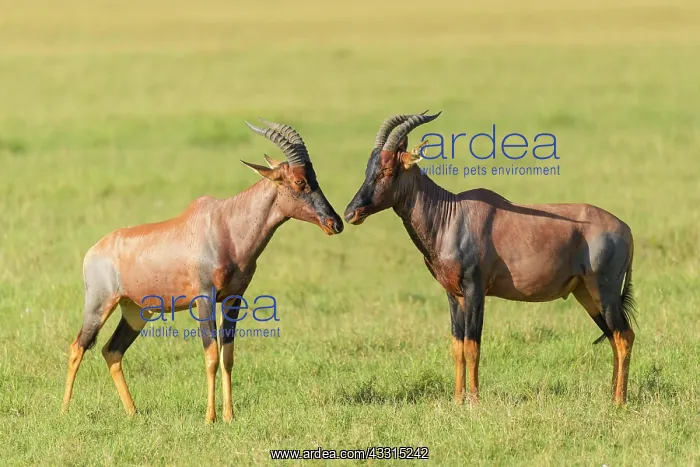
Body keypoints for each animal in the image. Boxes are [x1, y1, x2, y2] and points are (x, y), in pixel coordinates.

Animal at [61, 119, 344, 422]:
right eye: (298, 181)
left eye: (315, 178)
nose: (335, 223)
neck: (225, 224)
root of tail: (94, 250)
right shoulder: (205, 298)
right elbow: (211, 356)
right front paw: (210, 418)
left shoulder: (233, 299)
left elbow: (228, 356)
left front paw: (230, 416)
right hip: (99, 304)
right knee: (78, 347)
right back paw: (65, 410)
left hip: (137, 311)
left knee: (112, 351)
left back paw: (133, 412)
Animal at [344, 112, 636, 405]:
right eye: (368, 169)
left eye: (387, 170)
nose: (350, 213)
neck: (451, 215)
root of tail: (626, 229)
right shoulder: (454, 294)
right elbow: (457, 346)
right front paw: (457, 400)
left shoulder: (475, 289)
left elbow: (472, 346)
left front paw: (474, 402)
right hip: (585, 293)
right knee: (613, 336)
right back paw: (612, 394)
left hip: (605, 290)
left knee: (624, 336)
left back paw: (618, 402)